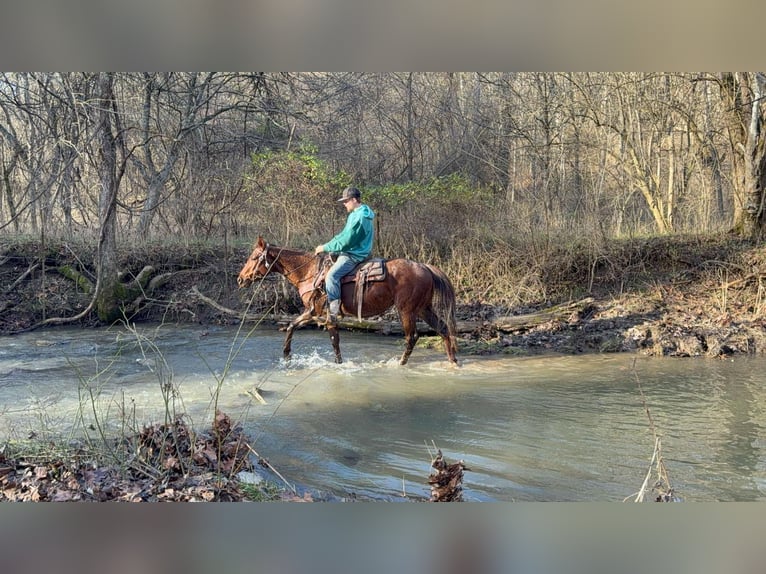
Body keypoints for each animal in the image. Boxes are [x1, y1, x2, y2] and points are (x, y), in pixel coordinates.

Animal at [237, 236, 459, 366]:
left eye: (254, 257)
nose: (240, 279)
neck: (309, 272)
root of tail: (425, 267)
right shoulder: (313, 312)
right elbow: (291, 326)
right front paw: (286, 356)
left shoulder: (325, 316)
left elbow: (334, 343)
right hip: (423, 309)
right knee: (443, 329)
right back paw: (453, 361)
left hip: (407, 310)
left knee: (412, 337)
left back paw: (401, 363)